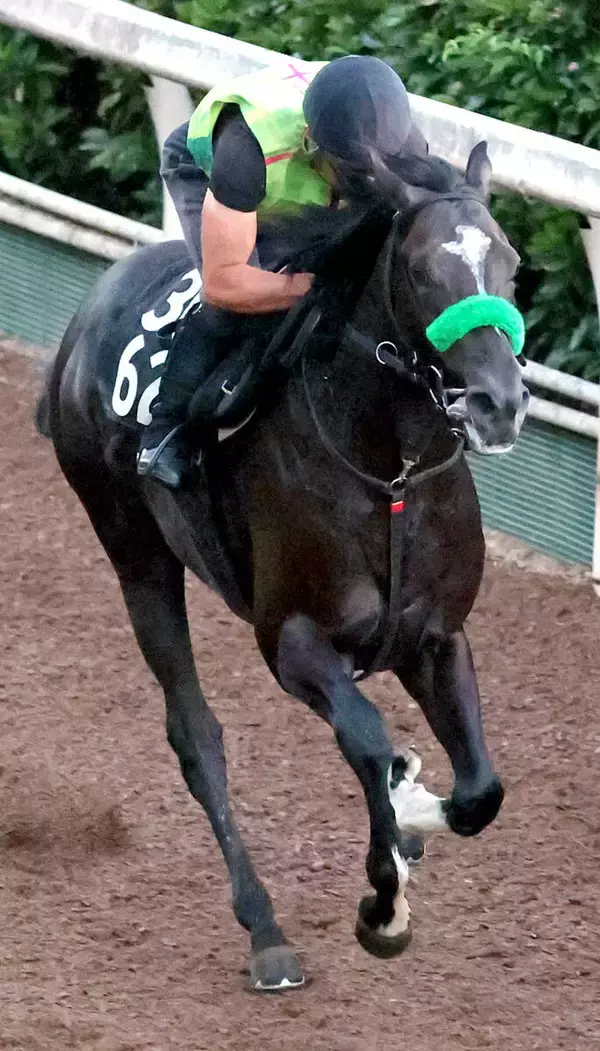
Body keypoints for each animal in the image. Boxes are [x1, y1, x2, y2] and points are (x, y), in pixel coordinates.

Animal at [38, 141, 528, 991]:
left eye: (510, 263)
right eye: (425, 270)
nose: (500, 402)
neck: (389, 470)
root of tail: (91, 307)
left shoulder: (436, 636)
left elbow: (479, 790)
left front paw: (414, 813)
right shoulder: (294, 640)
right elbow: (367, 741)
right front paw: (384, 904)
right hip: (135, 554)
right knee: (196, 736)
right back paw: (265, 930)